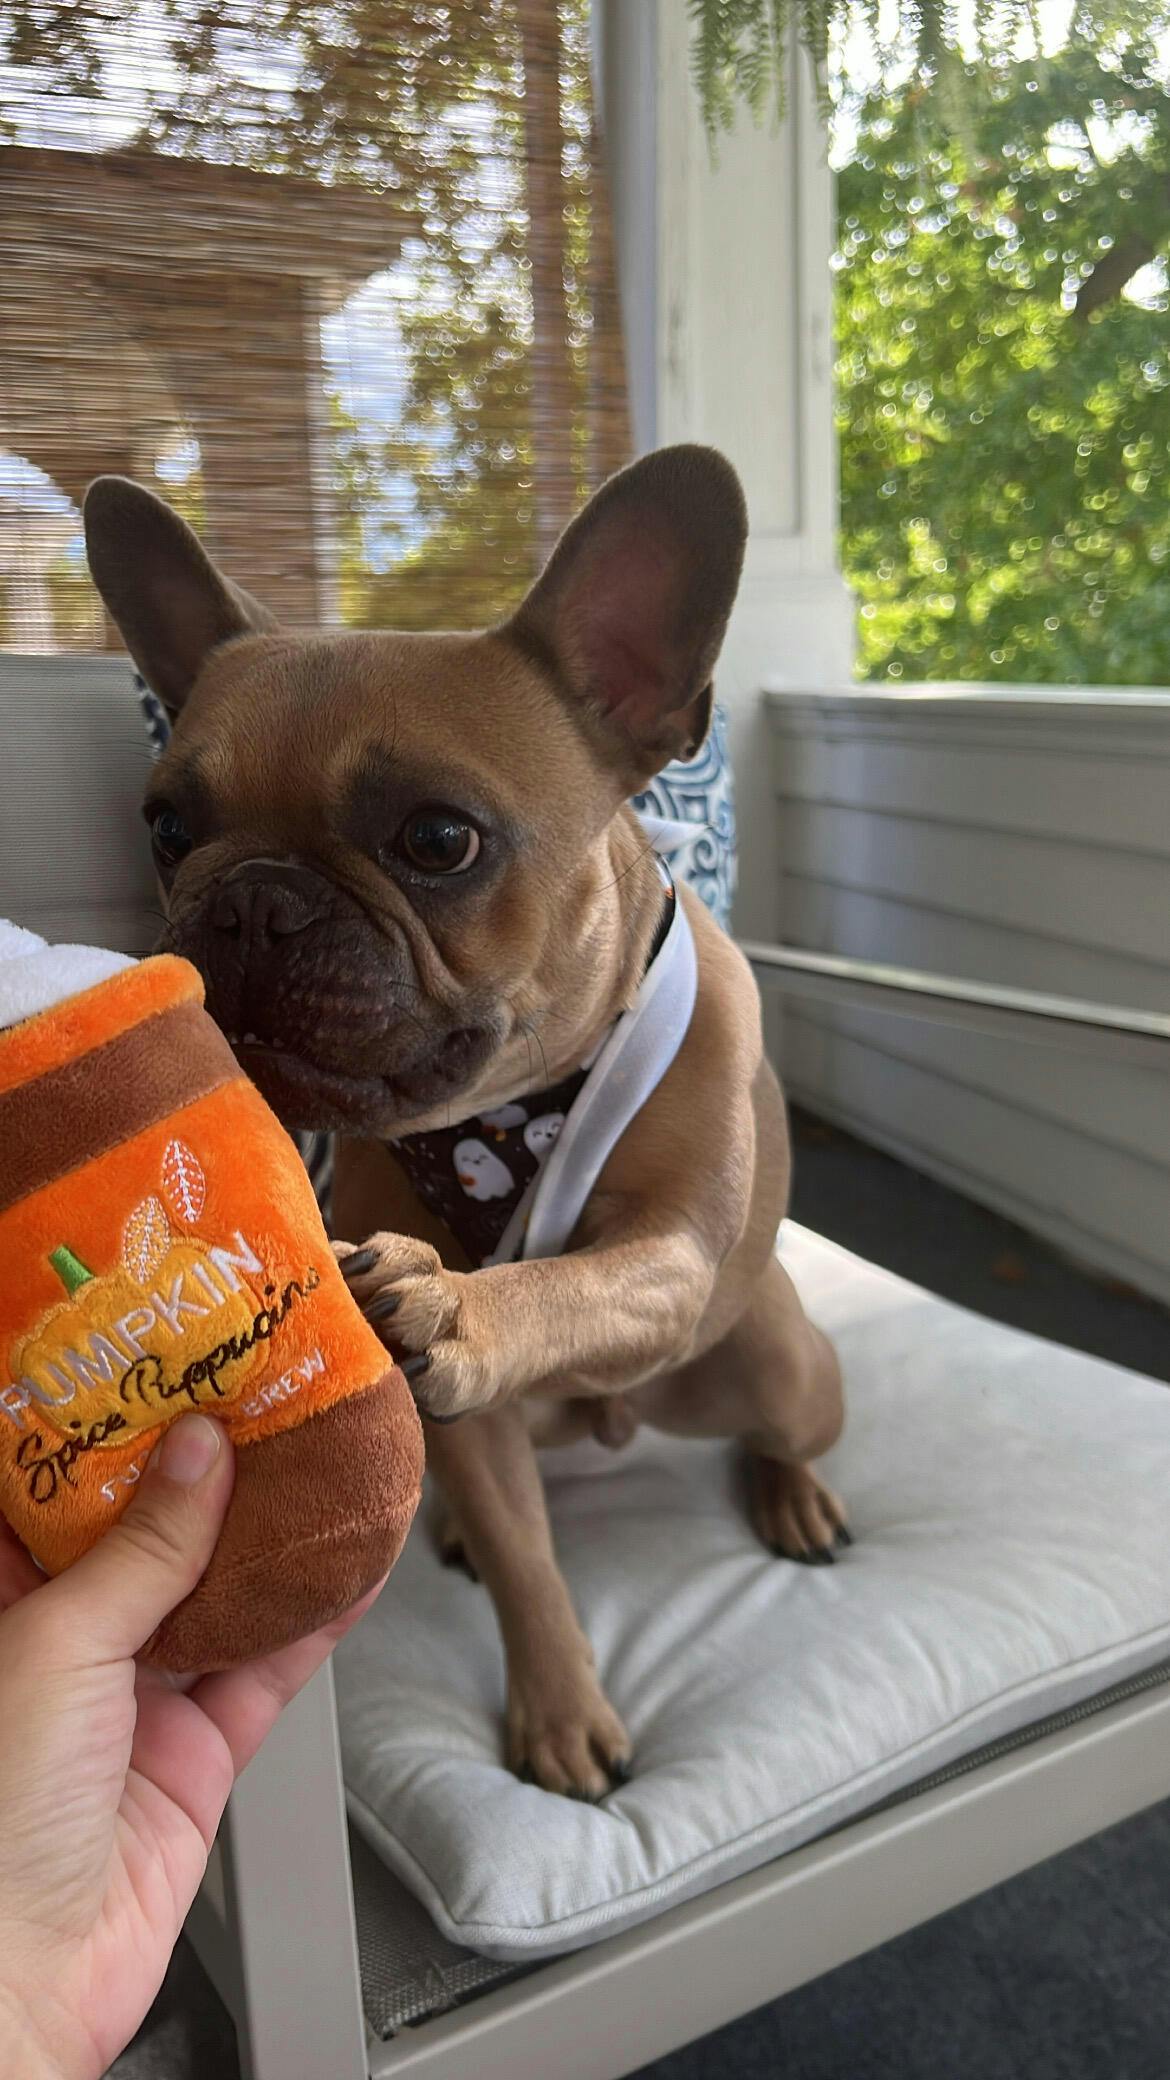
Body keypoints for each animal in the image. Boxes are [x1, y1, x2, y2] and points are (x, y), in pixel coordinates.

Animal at [84, 445, 846, 1800]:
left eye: (439, 839)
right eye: (168, 827)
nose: (250, 904)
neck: (509, 1117)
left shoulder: (674, 1255)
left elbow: (585, 1278)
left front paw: (454, 1302)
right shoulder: (482, 1431)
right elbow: (527, 1564)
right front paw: (560, 1711)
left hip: (779, 1364)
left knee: (782, 1421)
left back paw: (790, 1490)